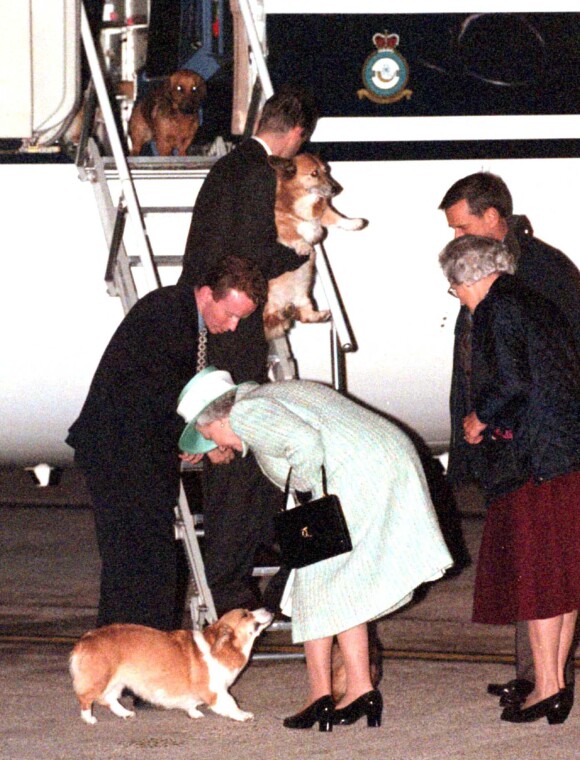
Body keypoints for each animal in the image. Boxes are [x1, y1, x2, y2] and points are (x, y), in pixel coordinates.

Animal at [69, 604, 274, 724]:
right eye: (245, 614)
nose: (270, 609)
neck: (223, 647)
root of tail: (84, 640)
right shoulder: (216, 690)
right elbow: (230, 703)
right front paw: (242, 715)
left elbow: (191, 703)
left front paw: (194, 713)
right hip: (101, 679)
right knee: (86, 699)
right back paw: (89, 718)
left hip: (118, 681)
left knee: (110, 699)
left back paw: (125, 713)